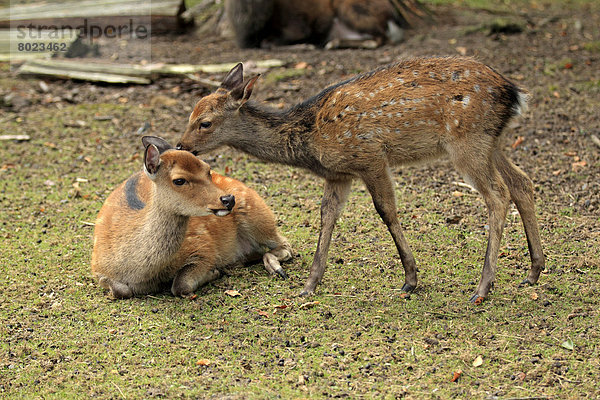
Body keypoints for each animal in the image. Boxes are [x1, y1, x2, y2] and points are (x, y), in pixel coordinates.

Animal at [91, 136, 292, 298]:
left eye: (207, 169)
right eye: (179, 180)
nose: (228, 199)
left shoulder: (203, 247)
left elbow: (181, 285)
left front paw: (214, 272)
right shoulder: (96, 266)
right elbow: (121, 290)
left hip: (257, 213)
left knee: (285, 245)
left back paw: (275, 268)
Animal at [176, 57, 548, 304]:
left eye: (205, 122)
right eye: (190, 113)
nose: (181, 146)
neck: (310, 140)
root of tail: (513, 93)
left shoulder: (370, 157)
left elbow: (386, 211)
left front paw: (410, 280)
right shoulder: (338, 174)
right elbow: (326, 217)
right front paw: (309, 285)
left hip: (467, 142)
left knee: (498, 195)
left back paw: (483, 288)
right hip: (491, 142)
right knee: (523, 183)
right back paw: (533, 271)